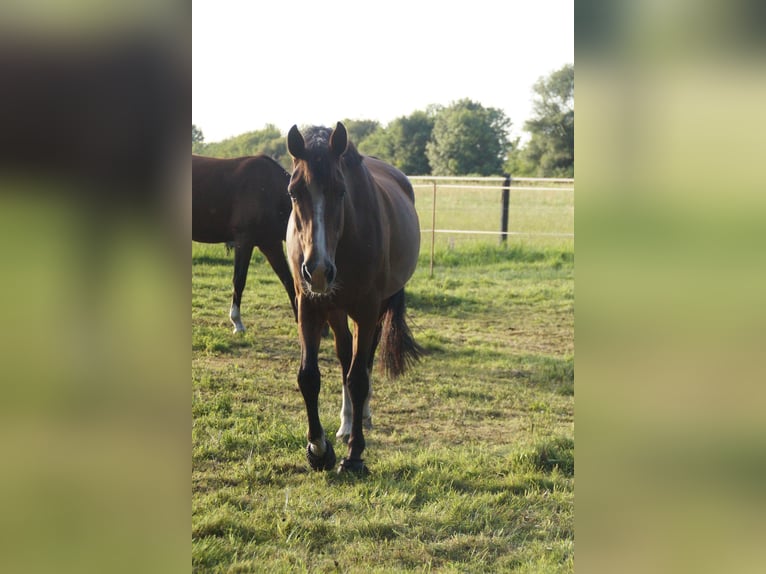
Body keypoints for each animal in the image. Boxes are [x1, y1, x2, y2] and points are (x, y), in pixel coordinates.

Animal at [192, 154, 297, 332]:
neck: (269, 189)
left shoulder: (270, 244)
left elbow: (287, 279)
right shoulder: (244, 240)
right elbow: (239, 279)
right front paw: (237, 322)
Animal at [285, 122, 423, 474]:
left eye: (341, 190)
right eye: (294, 192)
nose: (318, 270)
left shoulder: (367, 307)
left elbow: (359, 377)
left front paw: (354, 455)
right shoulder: (309, 304)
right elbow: (309, 376)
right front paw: (318, 450)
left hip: (377, 306)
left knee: (365, 359)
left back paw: (363, 419)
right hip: (334, 308)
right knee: (346, 354)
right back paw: (347, 422)